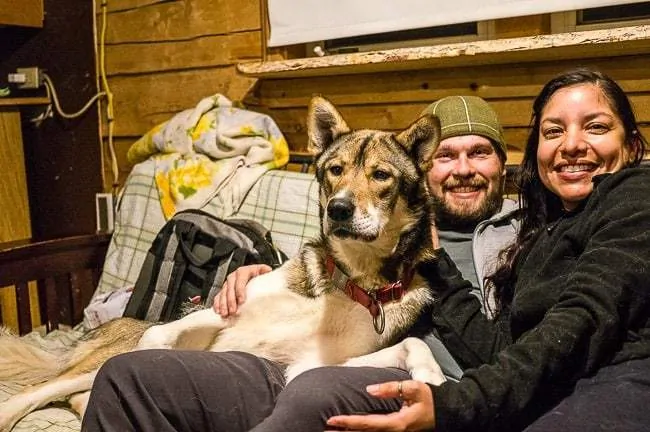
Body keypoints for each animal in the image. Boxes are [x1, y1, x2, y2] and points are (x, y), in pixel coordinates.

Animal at [0, 96, 446, 430]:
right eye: (335, 170)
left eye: (381, 176)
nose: (338, 209)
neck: (349, 279)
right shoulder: (222, 308)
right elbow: (163, 336)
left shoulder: (311, 367)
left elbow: (412, 343)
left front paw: (432, 379)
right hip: (91, 364)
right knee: (33, 393)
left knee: (75, 395)